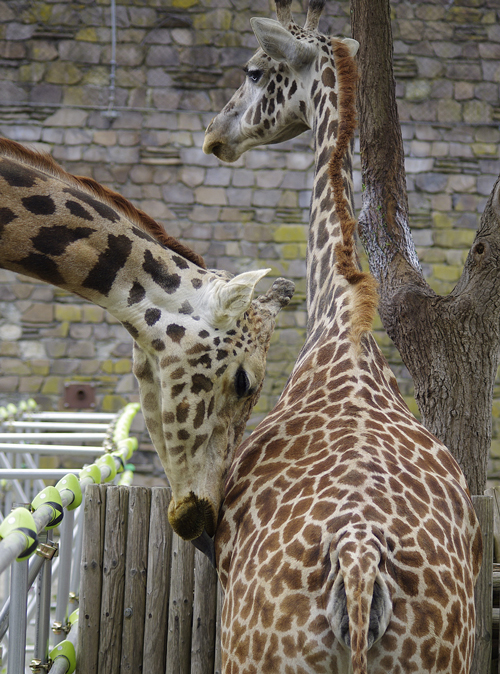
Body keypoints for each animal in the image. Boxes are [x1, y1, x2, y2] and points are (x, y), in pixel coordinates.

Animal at [201, 2, 482, 668]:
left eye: (254, 71)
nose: (215, 134)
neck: (340, 321)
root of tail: (358, 558)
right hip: (443, 657)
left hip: (250, 655)